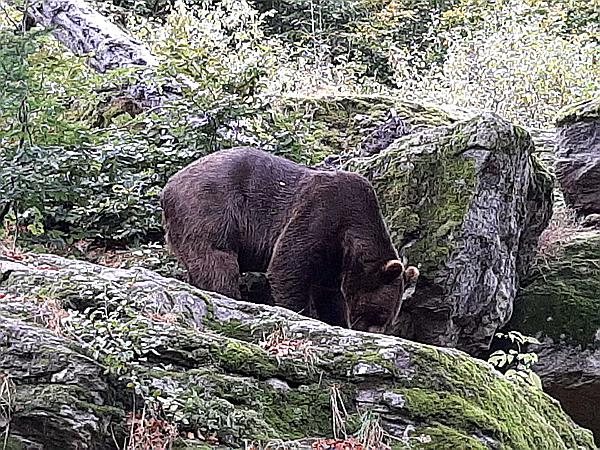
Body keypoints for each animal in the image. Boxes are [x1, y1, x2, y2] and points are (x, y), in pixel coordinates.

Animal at [162, 146, 420, 332]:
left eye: (388, 319)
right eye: (380, 314)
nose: (374, 331)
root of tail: (168, 188)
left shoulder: (334, 260)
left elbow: (329, 294)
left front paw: (335, 319)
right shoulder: (320, 213)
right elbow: (288, 267)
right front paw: (301, 312)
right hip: (211, 211)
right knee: (217, 261)